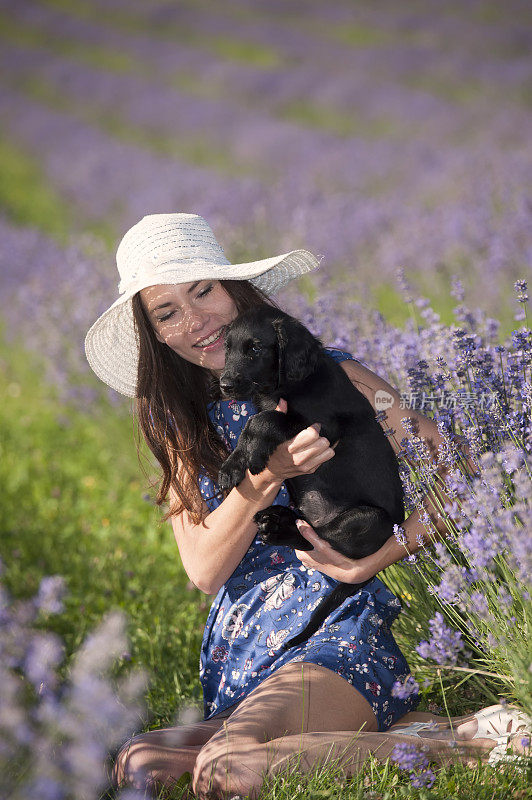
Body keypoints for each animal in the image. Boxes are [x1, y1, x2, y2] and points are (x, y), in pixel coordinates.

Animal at [216, 306, 404, 648]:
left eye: (255, 349)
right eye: (228, 348)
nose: (225, 385)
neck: (281, 387)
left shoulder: (319, 427)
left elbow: (260, 420)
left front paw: (252, 454)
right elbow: (251, 424)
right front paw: (232, 466)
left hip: (370, 520)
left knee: (313, 539)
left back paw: (277, 529)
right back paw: (275, 517)